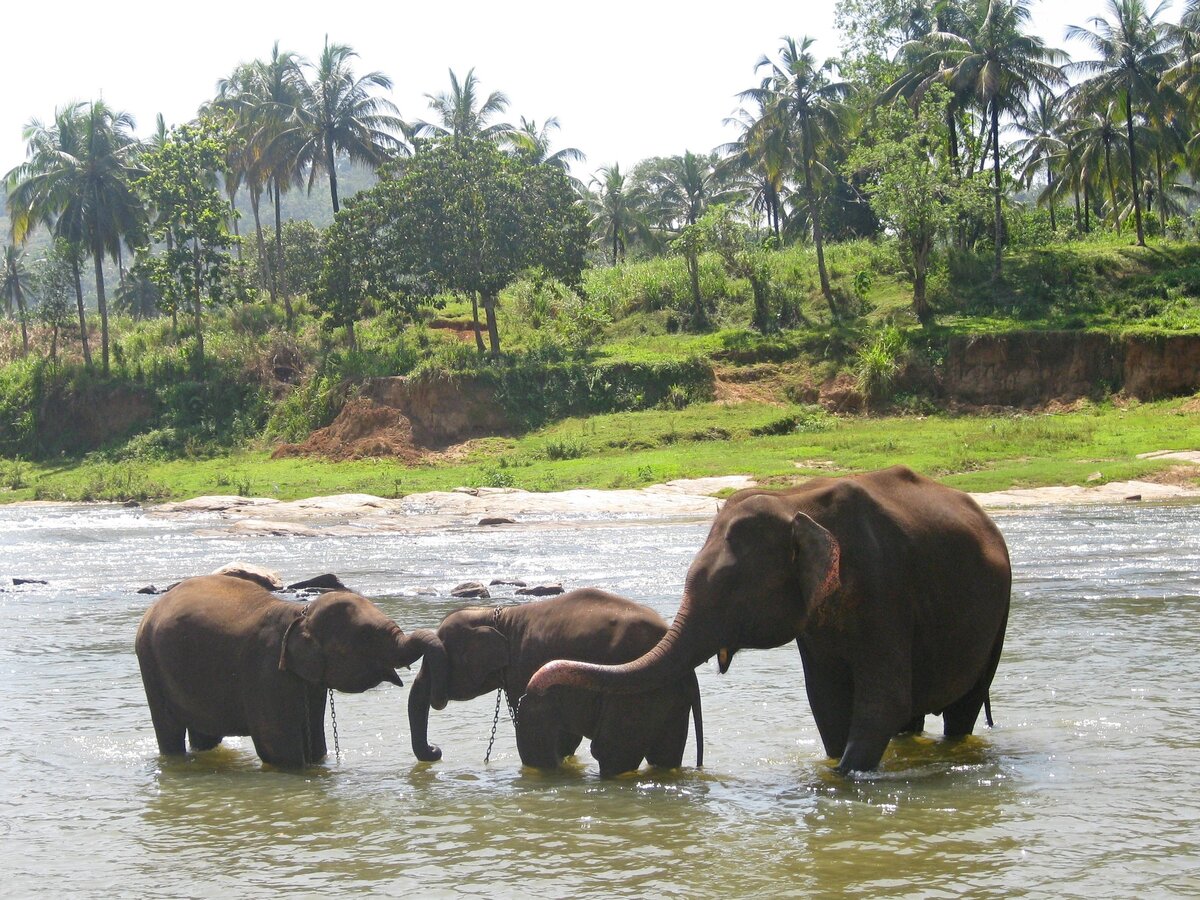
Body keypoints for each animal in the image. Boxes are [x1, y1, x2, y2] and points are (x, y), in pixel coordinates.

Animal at [135, 578, 446, 768]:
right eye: (368, 638)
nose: (436, 750)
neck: (300, 614)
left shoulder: (311, 681)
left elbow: (316, 742)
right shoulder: (265, 671)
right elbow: (278, 749)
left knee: (205, 734)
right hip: (149, 662)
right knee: (169, 730)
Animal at [408, 588, 700, 777]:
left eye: (435, 661)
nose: (436, 750)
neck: (497, 617)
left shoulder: (525, 668)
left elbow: (535, 728)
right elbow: (565, 737)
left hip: (637, 696)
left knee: (611, 751)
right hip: (669, 698)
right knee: (665, 754)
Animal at [530, 465, 1008, 777]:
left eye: (730, 589)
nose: (535, 683)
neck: (797, 500)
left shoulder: (885, 586)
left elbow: (883, 701)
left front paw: (841, 779)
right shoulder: (815, 625)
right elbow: (827, 701)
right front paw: (832, 766)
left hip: (996, 619)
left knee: (962, 707)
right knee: (914, 717)